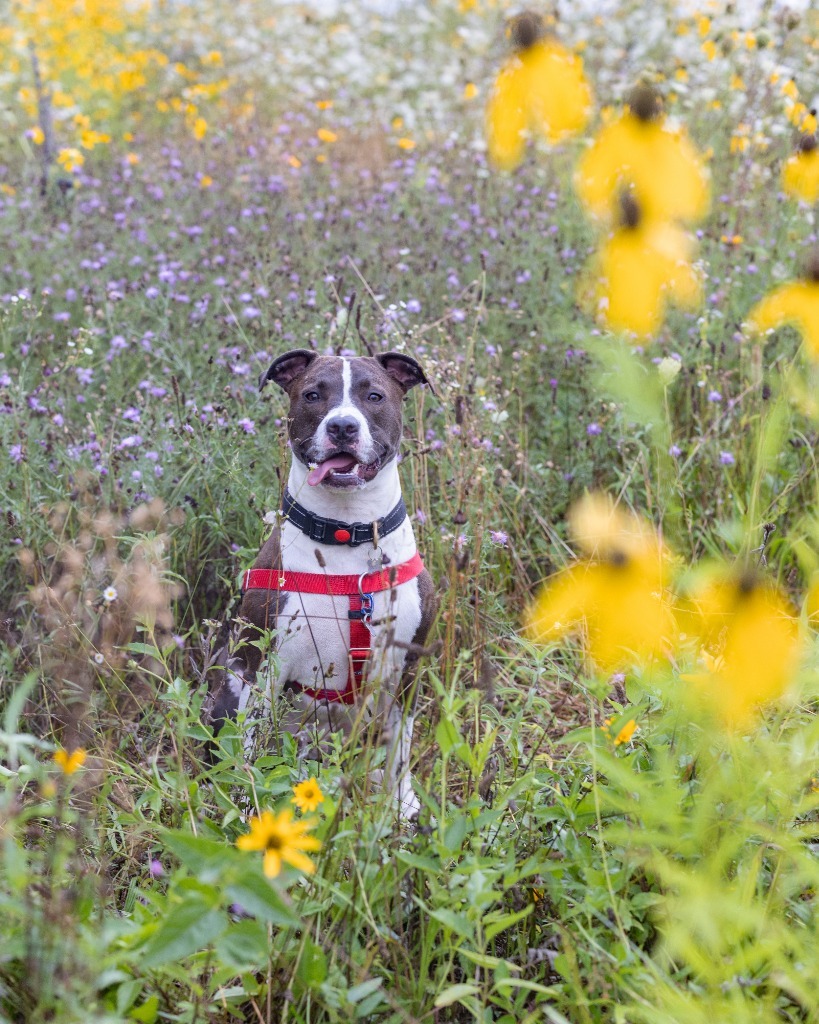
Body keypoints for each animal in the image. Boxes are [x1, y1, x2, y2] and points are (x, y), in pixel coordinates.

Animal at [207, 350, 438, 815]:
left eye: (374, 395)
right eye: (313, 394)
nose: (342, 426)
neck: (346, 532)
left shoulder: (407, 671)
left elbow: (400, 749)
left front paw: (400, 807)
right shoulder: (264, 668)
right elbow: (251, 747)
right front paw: (248, 806)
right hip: (231, 682)